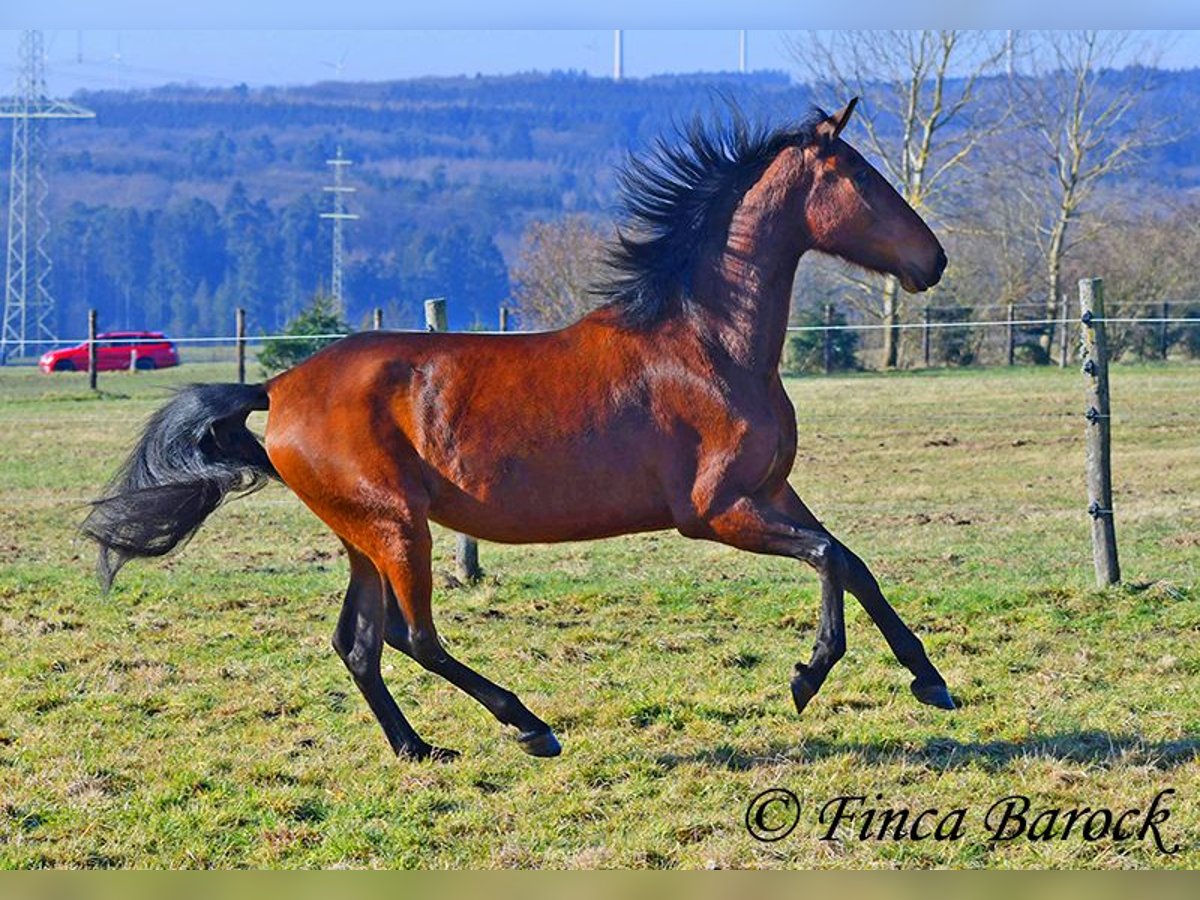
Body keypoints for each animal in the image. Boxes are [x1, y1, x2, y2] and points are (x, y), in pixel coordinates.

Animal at [82, 98, 955, 763]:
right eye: (864, 179)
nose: (935, 262)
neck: (709, 343)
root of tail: (278, 386)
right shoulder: (715, 512)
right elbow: (829, 559)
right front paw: (809, 674)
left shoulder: (771, 491)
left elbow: (853, 561)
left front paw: (930, 679)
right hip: (398, 528)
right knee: (414, 636)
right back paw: (530, 726)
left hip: (364, 534)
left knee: (360, 644)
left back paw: (420, 749)